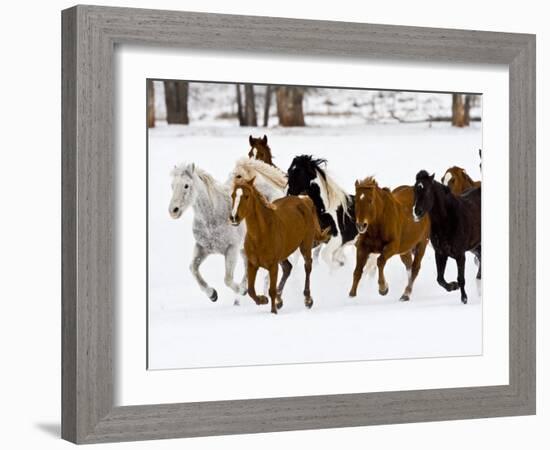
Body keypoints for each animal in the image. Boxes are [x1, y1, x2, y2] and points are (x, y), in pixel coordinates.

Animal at [167, 162, 247, 302]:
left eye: (186, 185)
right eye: (172, 185)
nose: (173, 211)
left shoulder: (232, 248)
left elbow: (227, 279)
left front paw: (241, 290)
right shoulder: (202, 248)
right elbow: (193, 268)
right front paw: (212, 294)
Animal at [231, 178, 330, 312]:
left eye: (246, 196)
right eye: (232, 195)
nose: (233, 217)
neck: (261, 235)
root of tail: (304, 200)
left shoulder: (273, 265)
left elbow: (271, 290)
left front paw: (273, 311)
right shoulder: (252, 264)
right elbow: (251, 290)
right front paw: (263, 300)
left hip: (305, 245)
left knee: (307, 266)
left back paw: (308, 300)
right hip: (283, 255)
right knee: (288, 268)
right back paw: (280, 300)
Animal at [414, 171, 484, 304]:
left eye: (427, 190)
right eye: (414, 190)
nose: (416, 212)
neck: (447, 221)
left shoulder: (460, 255)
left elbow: (461, 278)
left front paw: (464, 299)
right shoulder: (440, 253)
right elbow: (440, 279)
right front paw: (453, 286)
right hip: (475, 248)